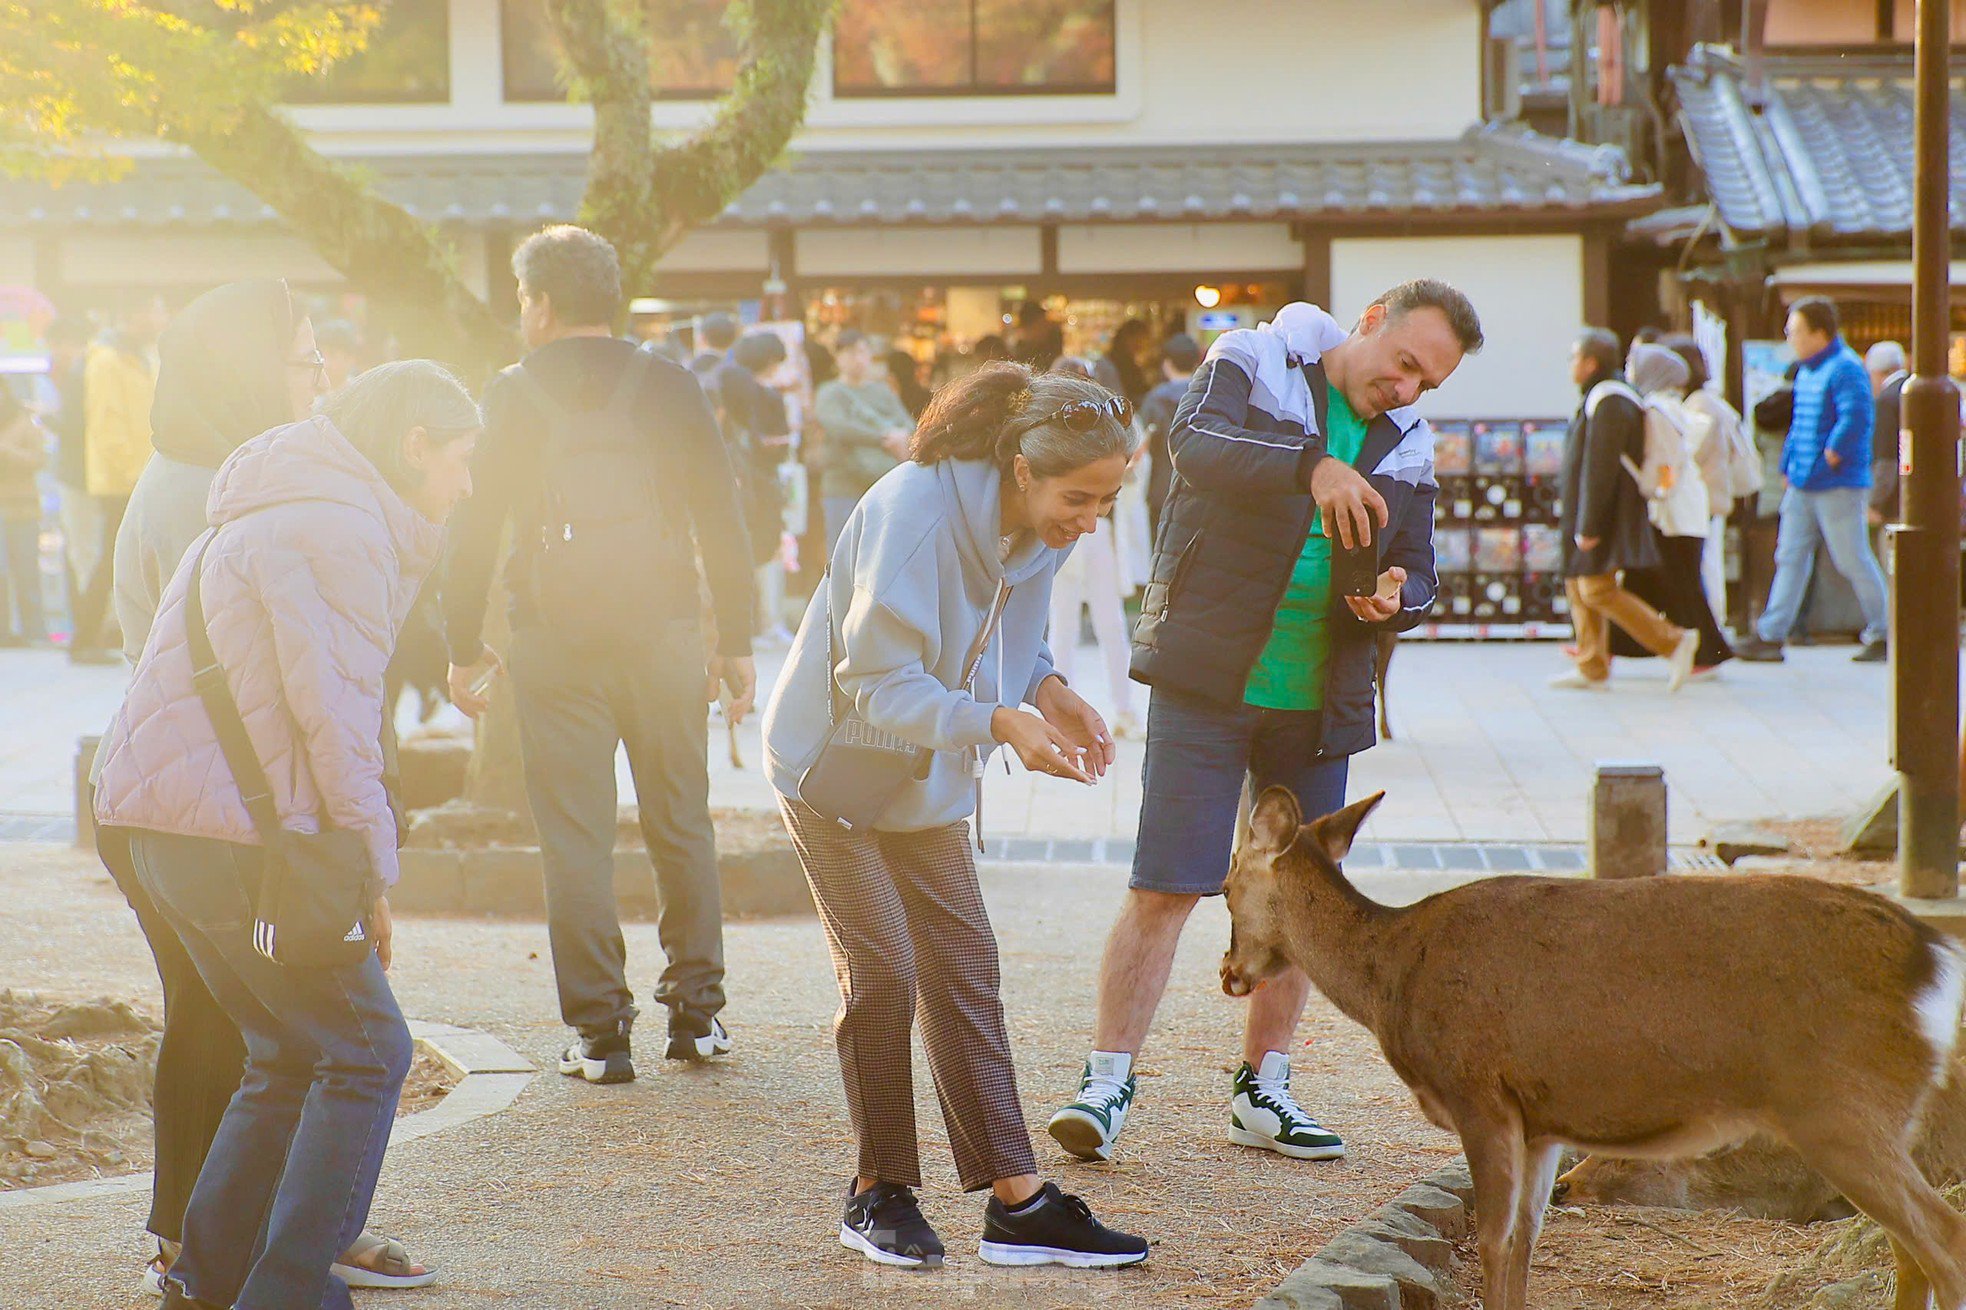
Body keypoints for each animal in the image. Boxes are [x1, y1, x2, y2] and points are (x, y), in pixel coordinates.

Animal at [1218, 786, 1966, 1306]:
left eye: (1224, 887)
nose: (1229, 973)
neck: (1393, 979)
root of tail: (1934, 964)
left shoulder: (1479, 1092)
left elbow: (1493, 1241)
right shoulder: (1541, 1123)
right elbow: (1525, 1240)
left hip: (1837, 1105)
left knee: (1942, 1237)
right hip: (1874, 1117)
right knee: (1909, 1251)